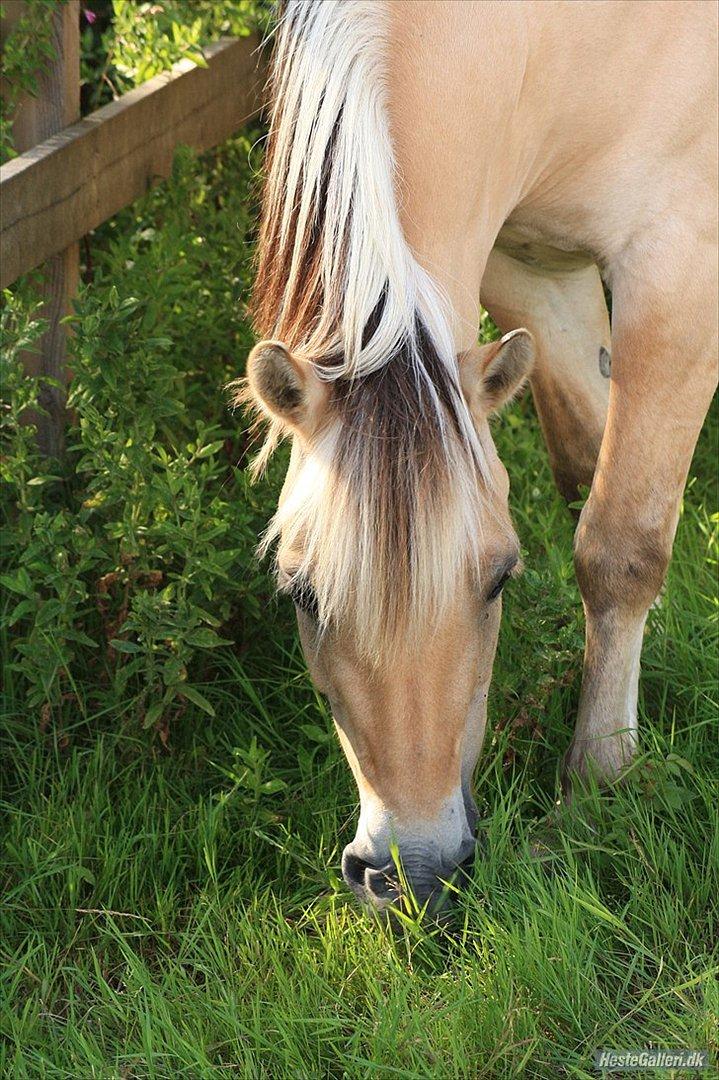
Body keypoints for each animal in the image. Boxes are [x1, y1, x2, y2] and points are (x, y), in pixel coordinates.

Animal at [237, 0, 712, 911]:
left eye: (498, 581)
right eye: (301, 596)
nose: (413, 872)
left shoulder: (679, 275)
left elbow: (620, 547)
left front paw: (598, 778)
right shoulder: (527, 267)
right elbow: (584, 463)